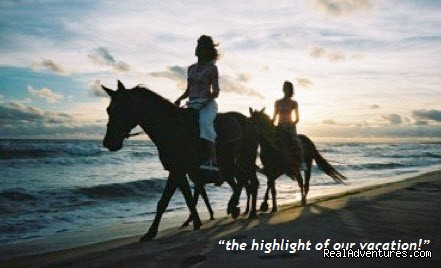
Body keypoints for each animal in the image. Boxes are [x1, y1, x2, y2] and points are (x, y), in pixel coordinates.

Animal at [102, 80, 262, 241]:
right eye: (108, 110)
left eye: (121, 109)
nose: (108, 142)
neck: (171, 127)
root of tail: (248, 122)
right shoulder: (180, 172)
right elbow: (188, 199)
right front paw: (195, 223)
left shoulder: (177, 170)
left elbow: (164, 201)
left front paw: (151, 232)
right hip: (231, 163)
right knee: (243, 180)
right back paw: (237, 208)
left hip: (242, 160)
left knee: (247, 180)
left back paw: (243, 209)